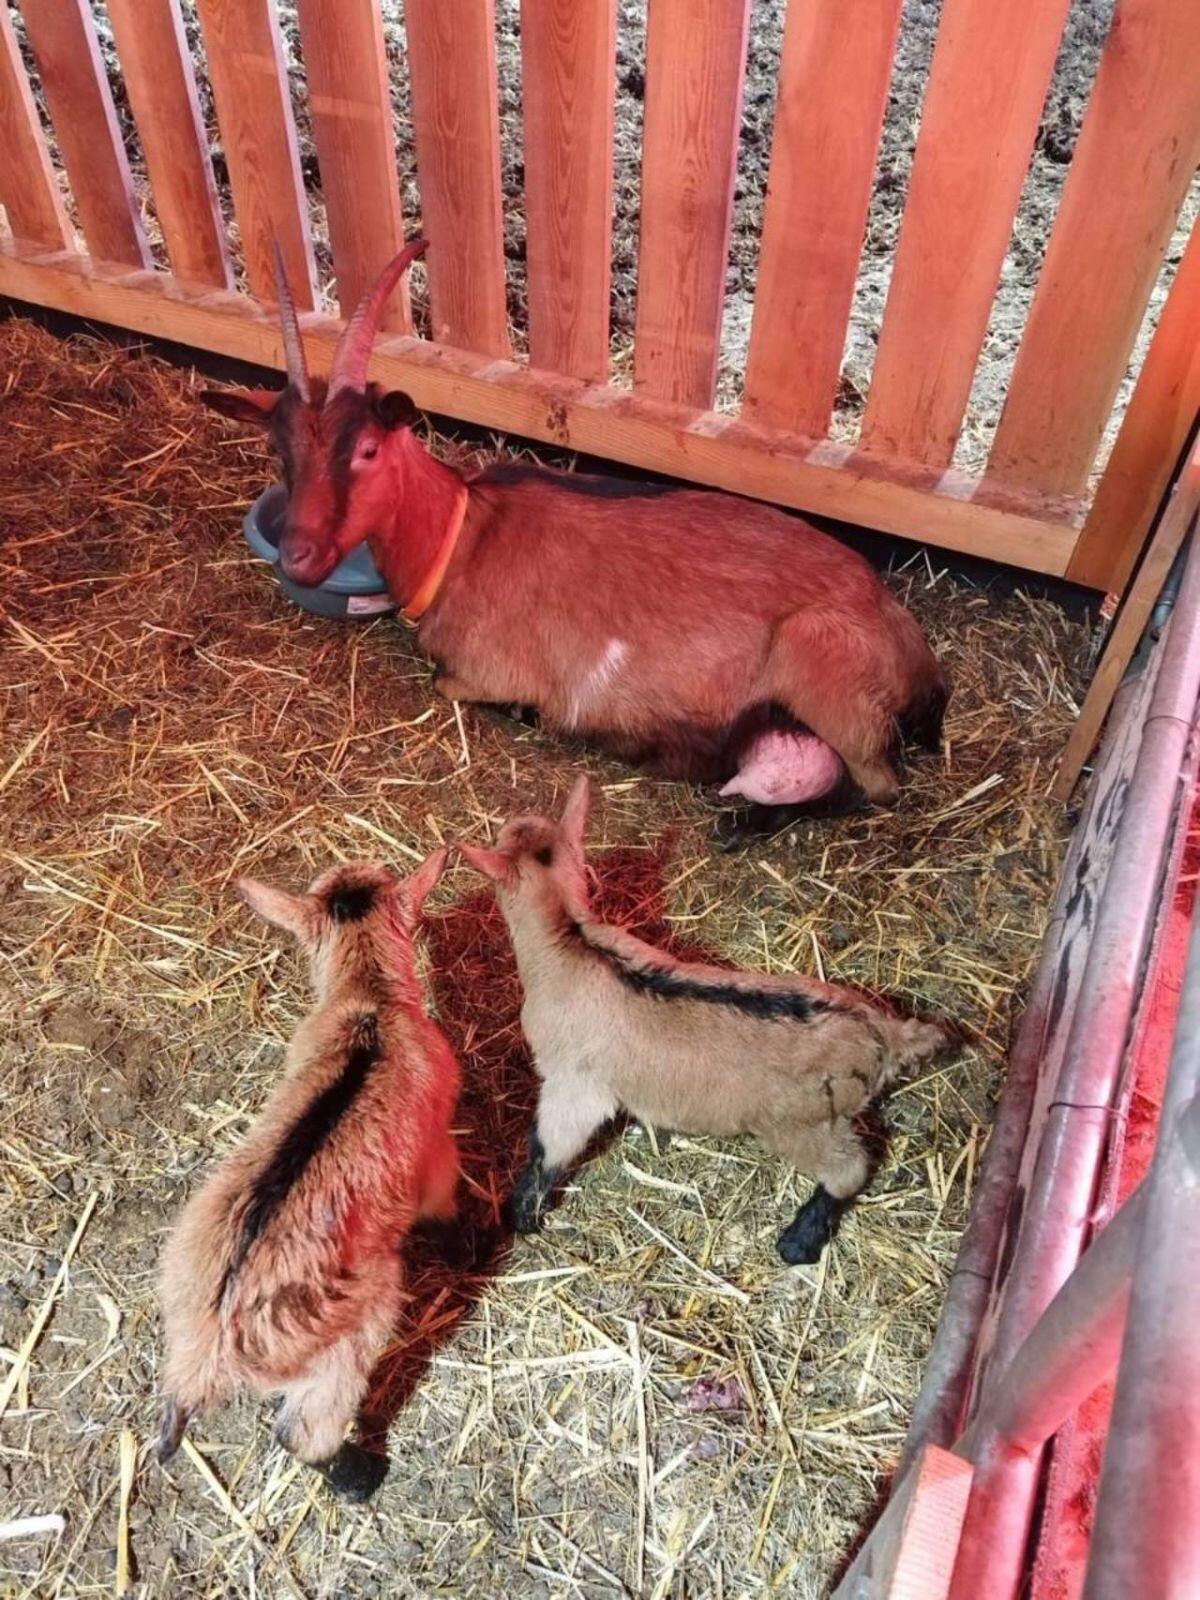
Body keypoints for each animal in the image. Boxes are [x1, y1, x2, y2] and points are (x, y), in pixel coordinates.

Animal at [156, 852, 460, 1502]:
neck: (369, 1003)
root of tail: (210, 1349)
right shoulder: (437, 1143)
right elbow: (447, 1196)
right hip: (357, 1318)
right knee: (302, 1428)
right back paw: (359, 1475)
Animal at [201, 244, 947, 833]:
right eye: (278, 451)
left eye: (367, 450)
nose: (299, 556)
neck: (461, 537)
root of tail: (906, 639)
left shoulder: (487, 670)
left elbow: (452, 684)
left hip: (819, 666)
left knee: (878, 787)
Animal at [460, 778, 948, 1263]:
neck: (570, 943)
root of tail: (878, 1033)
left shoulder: (573, 1082)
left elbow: (550, 1148)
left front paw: (519, 1215)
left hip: (802, 1124)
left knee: (849, 1168)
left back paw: (799, 1239)